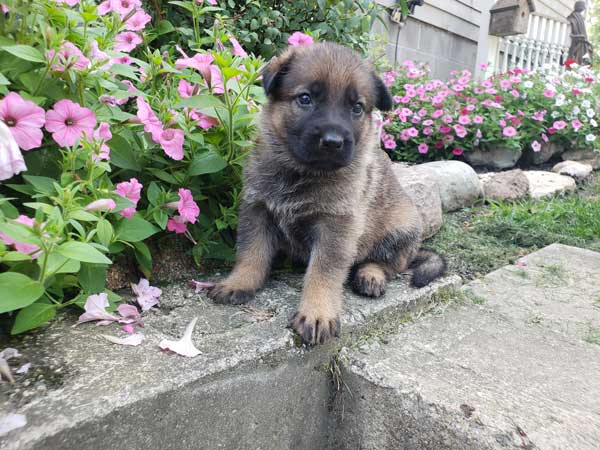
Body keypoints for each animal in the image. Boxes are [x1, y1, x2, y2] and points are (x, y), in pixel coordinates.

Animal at [206, 42, 446, 344]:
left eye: (357, 108)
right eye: (305, 98)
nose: (333, 142)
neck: (301, 172)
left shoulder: (336, 226)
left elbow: (323, 271)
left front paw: (317, 312)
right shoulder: (257, 210)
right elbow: (251, 253)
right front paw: (238, 283)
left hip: (401, 227)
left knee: (389, 264)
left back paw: (370, 276)